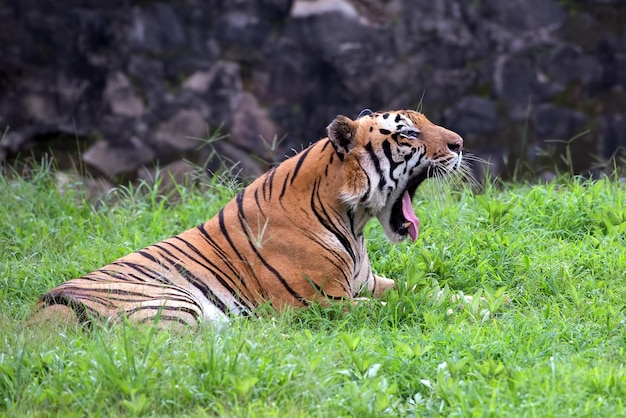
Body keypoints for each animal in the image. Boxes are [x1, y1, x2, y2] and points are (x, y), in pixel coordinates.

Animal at [31, 108, 464, 330]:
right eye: (408, 133)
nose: (460, 143)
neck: (353, 221)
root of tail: (36, 318)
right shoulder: (321, 302)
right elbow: (405, 303)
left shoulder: (370, 283)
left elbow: (427, 290)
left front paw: (474, 303)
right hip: (171, 301)